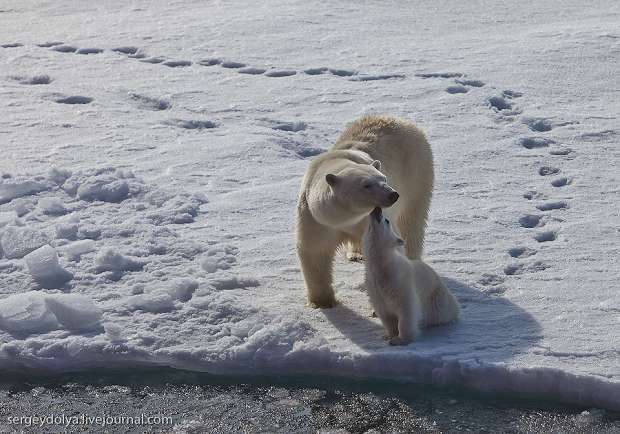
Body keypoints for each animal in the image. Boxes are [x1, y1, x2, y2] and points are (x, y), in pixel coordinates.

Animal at [296, 113, 434, 306]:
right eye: (366, 185)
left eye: (384, 178)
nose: (393, 195)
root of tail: (398, 119)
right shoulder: (315, 217)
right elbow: (315, 250)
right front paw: (322, 302)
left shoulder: (369, 219)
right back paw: (355, 254)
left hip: (416, 170)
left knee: (411, 220)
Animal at [360, 207, 458, 346]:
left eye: (387, 220)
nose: (377, 209)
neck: (382, 267)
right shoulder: (375, 288)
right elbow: (386, 315)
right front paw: (389, 336)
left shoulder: (401, 284)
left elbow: (406, 312)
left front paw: (401, 340)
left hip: (437, 298)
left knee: (442, 312)